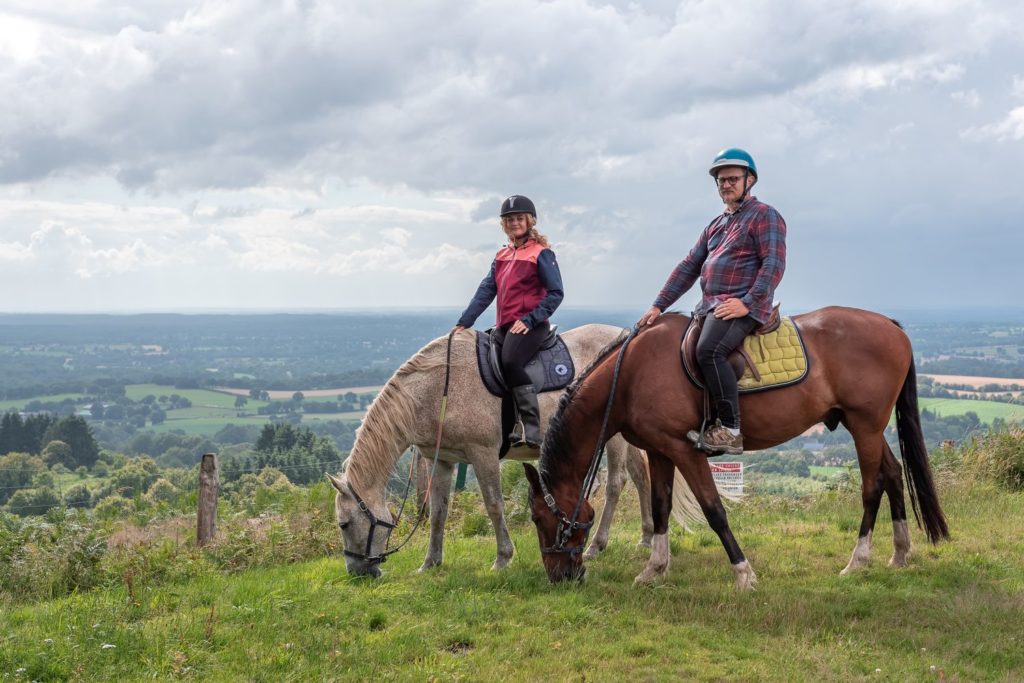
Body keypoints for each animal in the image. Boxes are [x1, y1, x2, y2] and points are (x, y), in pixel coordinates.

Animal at [528, 307, 950, 589]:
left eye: (539, 519)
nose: (559, 577)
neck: (632, 373)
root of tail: (891, 326)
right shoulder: (661, 450)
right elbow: (661, 507)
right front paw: (654, 569)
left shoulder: (685, 451)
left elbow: (714, 511)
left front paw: (744, 573)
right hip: (865, 426)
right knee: (893, 473)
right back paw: (900, 552)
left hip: (865, 425)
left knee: (872, 486)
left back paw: (858, 560)